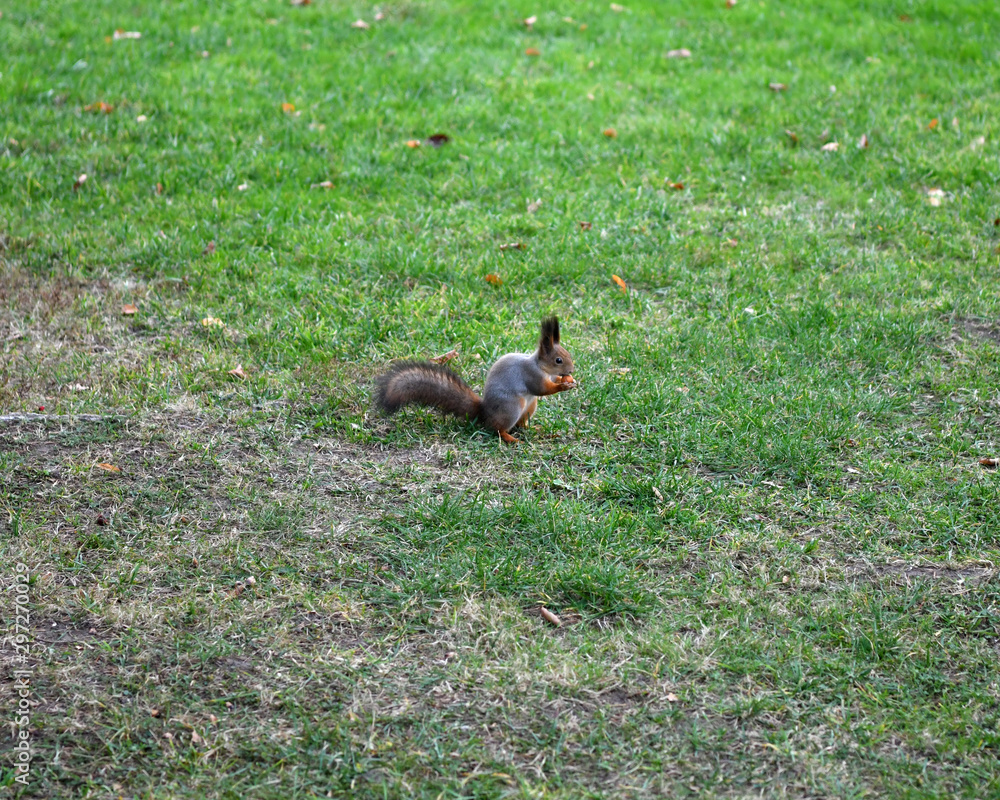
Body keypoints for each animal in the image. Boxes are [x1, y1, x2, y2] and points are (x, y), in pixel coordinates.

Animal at [376, 318, 580, 444]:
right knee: (497, 428)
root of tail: (484, 412)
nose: (571, 370)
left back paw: (534, 429)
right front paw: (563, 385)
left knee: (521, 424)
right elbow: (542, 389)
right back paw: (509, 438)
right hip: (512, 407)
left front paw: (571, 381)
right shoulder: (531, 375)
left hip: (530, 407)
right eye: (558, 360)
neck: (541, 367)